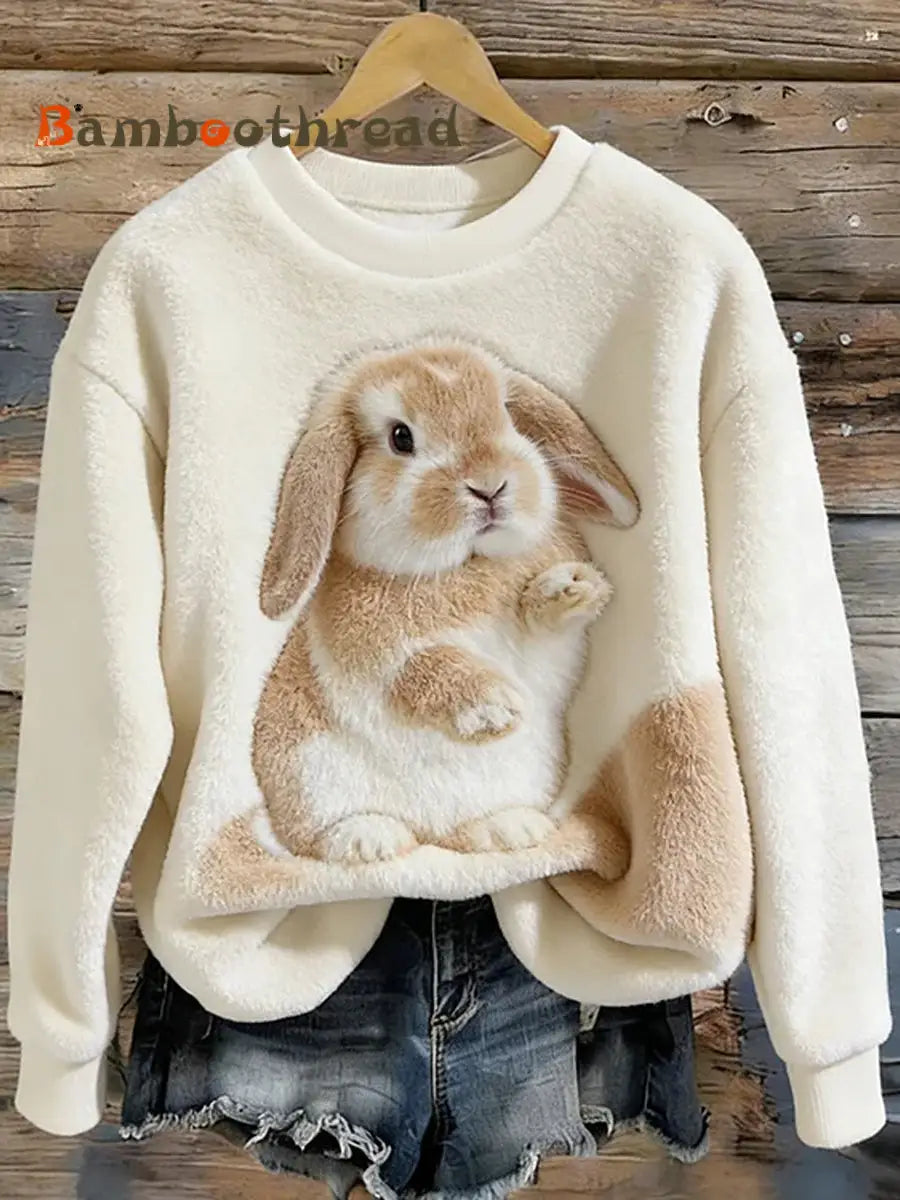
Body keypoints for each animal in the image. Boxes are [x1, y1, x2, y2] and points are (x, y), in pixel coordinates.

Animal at [251, 338, 639, 865]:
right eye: (400, 438)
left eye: (507, 415)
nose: (490, 485)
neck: (464, 566)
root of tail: (426, 833)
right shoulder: (372, 651)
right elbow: (421, 665)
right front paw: (494, 708)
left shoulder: (550, 651)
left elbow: (542, 627)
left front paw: (573, 588)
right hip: (309, 774)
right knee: (321, 834)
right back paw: (368, 840)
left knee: (465, 831)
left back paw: (509, 829)